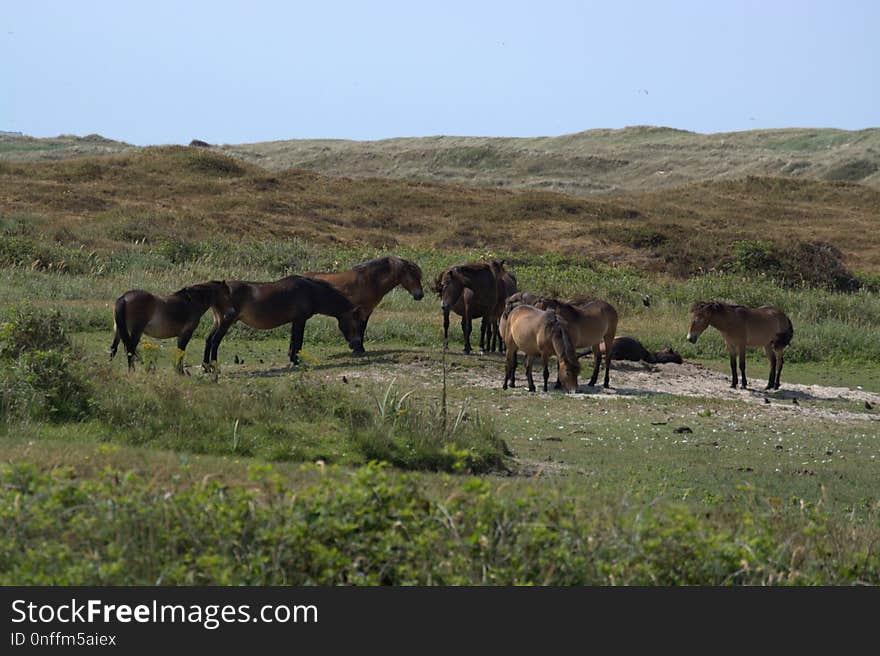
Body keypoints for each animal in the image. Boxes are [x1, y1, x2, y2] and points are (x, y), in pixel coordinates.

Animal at [205, 276, 366, 368]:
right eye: (356, 322)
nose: (356, 344)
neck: (311, 292)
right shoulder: (300, 320)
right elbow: (298, 341)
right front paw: (295, 361)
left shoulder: (295, 321)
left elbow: (293, 341)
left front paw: (292, 358)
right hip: (225, 323)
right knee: (215, 341)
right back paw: (213, 365)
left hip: (218, 322)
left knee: (208, 339)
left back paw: (206, 366)